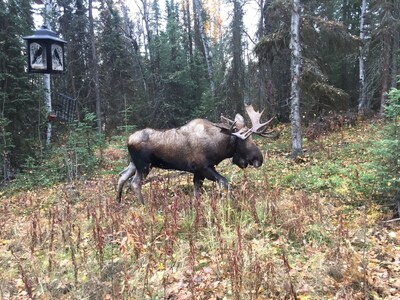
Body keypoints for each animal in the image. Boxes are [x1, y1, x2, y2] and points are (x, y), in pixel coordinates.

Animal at [114, 103, 274, 204]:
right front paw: (234, 202)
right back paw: (144, 205)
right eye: (243, 139)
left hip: (133, 164)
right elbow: (224, 182)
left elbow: (197, 194)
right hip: (144, 165)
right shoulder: (204, 167)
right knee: (134, 183)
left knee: (121, 177)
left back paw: (118, 203)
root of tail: (128, 140)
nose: (259, 158)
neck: (218, 145)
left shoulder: (198, 172)